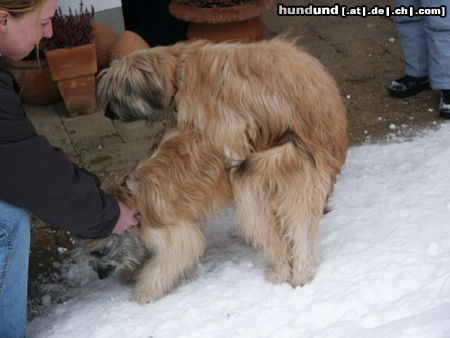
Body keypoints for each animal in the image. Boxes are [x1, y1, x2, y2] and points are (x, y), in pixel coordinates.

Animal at [84, 37, 348, 304]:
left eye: (114, 94)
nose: (107, 113)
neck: (178, 67)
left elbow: (168, 261)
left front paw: (144, 290)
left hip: (260, 193)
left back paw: (286, 271)